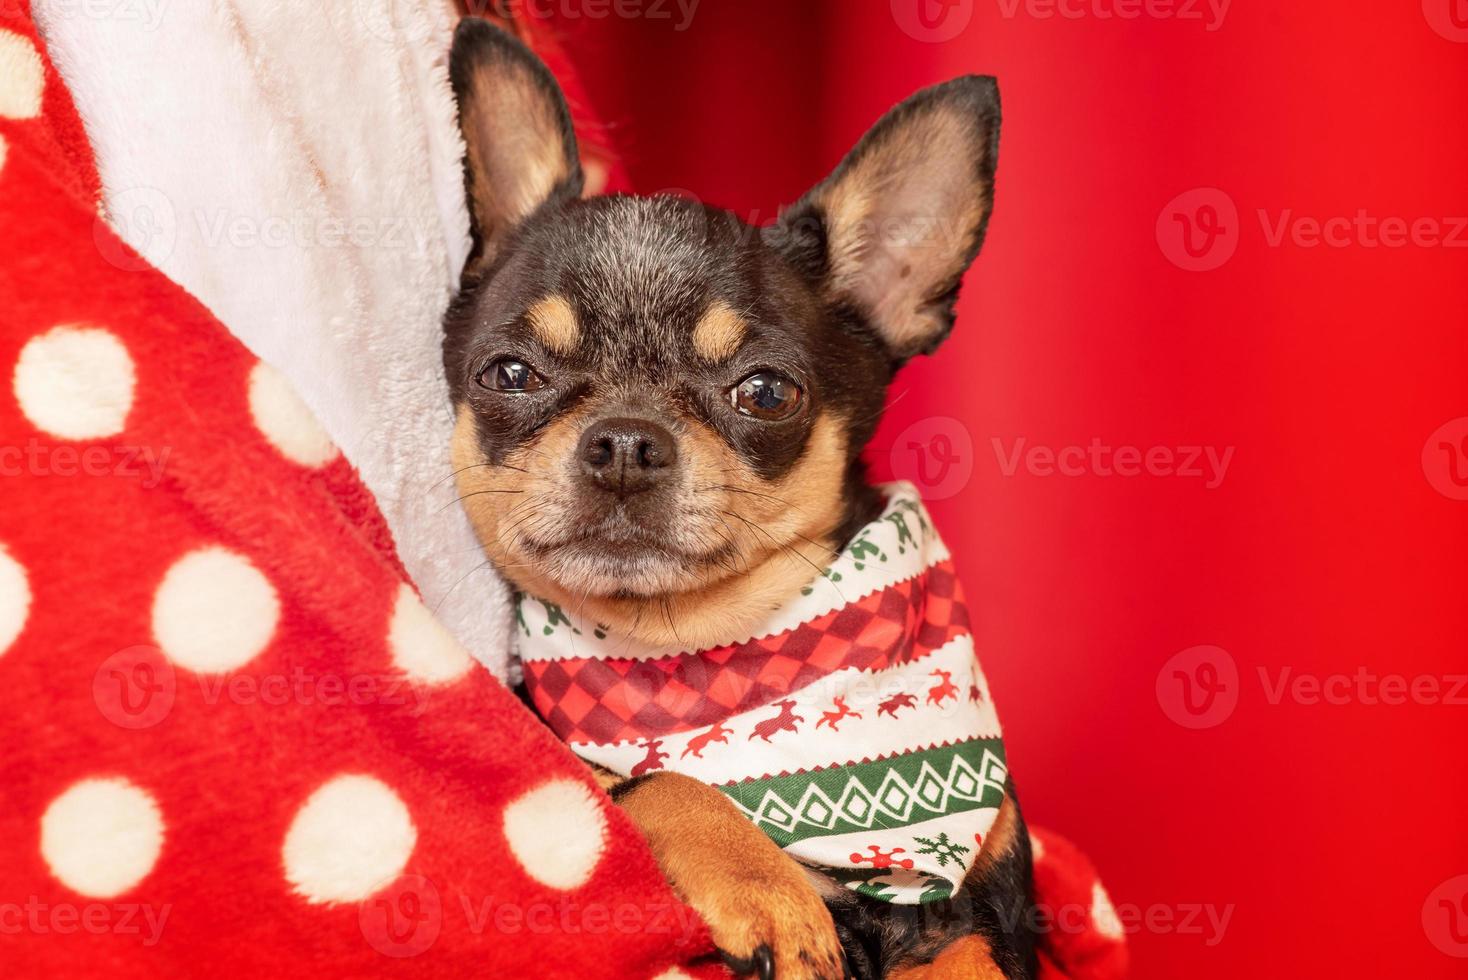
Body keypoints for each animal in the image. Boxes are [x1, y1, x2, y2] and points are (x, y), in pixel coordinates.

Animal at [446, 17, 1033, 979]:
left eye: (765, 393)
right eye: (510, 374)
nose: (624, 442)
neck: (700, 652)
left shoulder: (981, 916)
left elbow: (968, 957)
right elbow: (652, 776)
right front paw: (765, 887)